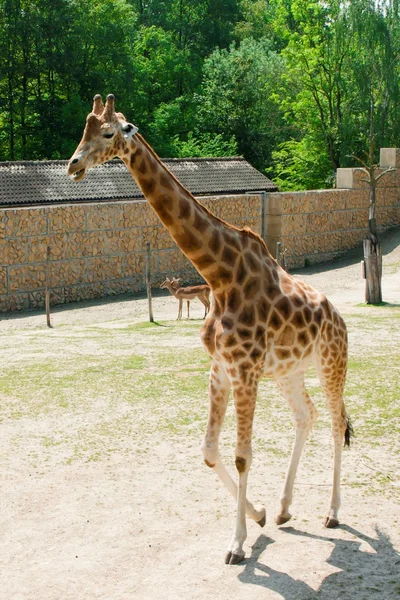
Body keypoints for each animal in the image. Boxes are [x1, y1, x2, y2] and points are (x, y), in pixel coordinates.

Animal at [69, 95, 354, 568]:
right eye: (83, 131)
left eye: (109, 132)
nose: (72, 165)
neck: (219, 275)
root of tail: (339, 318)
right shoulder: (220, 368)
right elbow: (208, 451)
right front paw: (259, 515)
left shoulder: (244, 370)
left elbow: (241, 455)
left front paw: (237, 544)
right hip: (290, 371)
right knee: (306, 416)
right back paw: (284, 508)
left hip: (332, 362)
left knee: (336, 423)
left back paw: (332, 513)